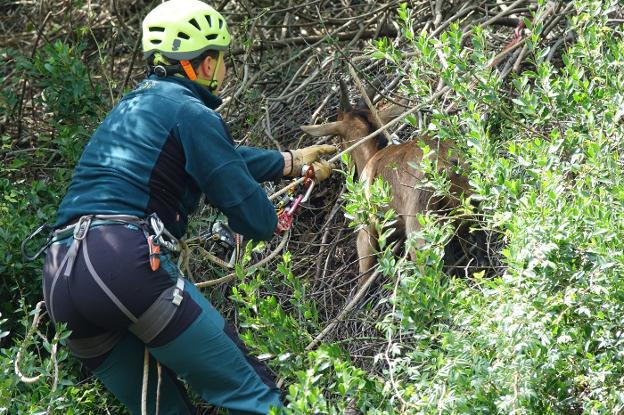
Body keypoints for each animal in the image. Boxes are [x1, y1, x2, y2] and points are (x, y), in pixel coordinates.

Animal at [302, 83, 468, 288]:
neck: (372, 156)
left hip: (419, 229)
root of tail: (446, 164)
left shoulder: (366, 230)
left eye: (340, 139)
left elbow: (364, 276)